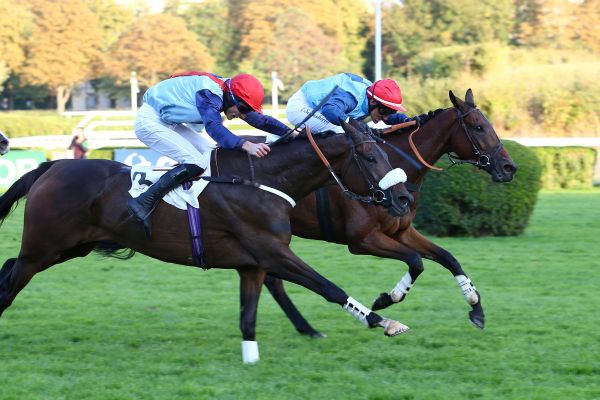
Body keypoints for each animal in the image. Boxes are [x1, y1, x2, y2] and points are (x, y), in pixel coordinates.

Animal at [0, 122, 412, 362]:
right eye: (371, 156)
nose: (405, 198)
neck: (261, 180)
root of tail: (52, 166)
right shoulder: (273, 252)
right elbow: (329, 287)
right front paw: (383, 320)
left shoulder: (252, 263)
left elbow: (248, 317)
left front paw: (251, 360)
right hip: (43, 249)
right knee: (9, 284)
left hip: (67, 248)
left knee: (7, 269)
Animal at [262, 90, 516, 334]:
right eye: (479, 127)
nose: (509, 167)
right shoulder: (362, 240)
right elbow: (416, 261)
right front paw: (386, 299)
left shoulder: (402, 231)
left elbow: (447, 258)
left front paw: (476, 307)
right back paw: (307, 327)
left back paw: (306, 328)